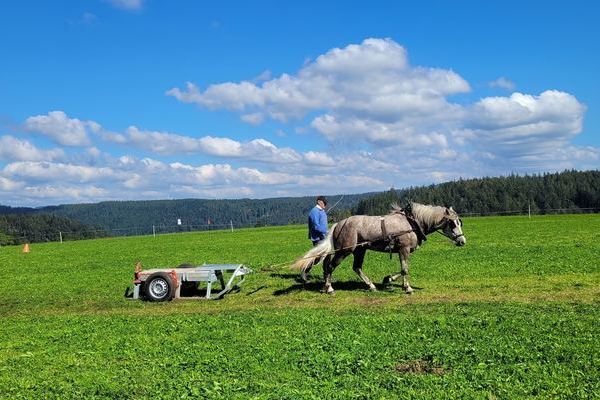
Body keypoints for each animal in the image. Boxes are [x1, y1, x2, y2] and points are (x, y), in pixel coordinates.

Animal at [292, 203, 466, 294]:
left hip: (360, 250)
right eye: (452, 223)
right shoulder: (404, 249)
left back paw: (371, 286)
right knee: (330, 266)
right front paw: (407, 288)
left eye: (460, 222)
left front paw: (388, 279)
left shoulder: (402, 251)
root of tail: (339, 224)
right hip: (345, 251)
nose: (462, 241)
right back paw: (329, 288)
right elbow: (405, 269)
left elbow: (402, 269)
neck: (412, 223)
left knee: (356, 267)